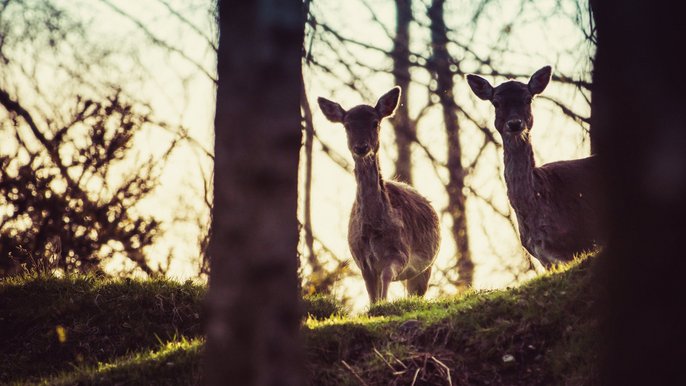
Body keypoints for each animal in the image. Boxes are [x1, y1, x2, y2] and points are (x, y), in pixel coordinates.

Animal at [320, 88, 444, 304]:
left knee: (417, 292)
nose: (361, 147)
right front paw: (375, 305)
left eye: (375, 122)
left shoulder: (401, 252)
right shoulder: (361, 260)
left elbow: (386, 276)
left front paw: (384, 304)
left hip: (426, 267)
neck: (373, 227)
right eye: (347, 125)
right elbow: (372, 294)